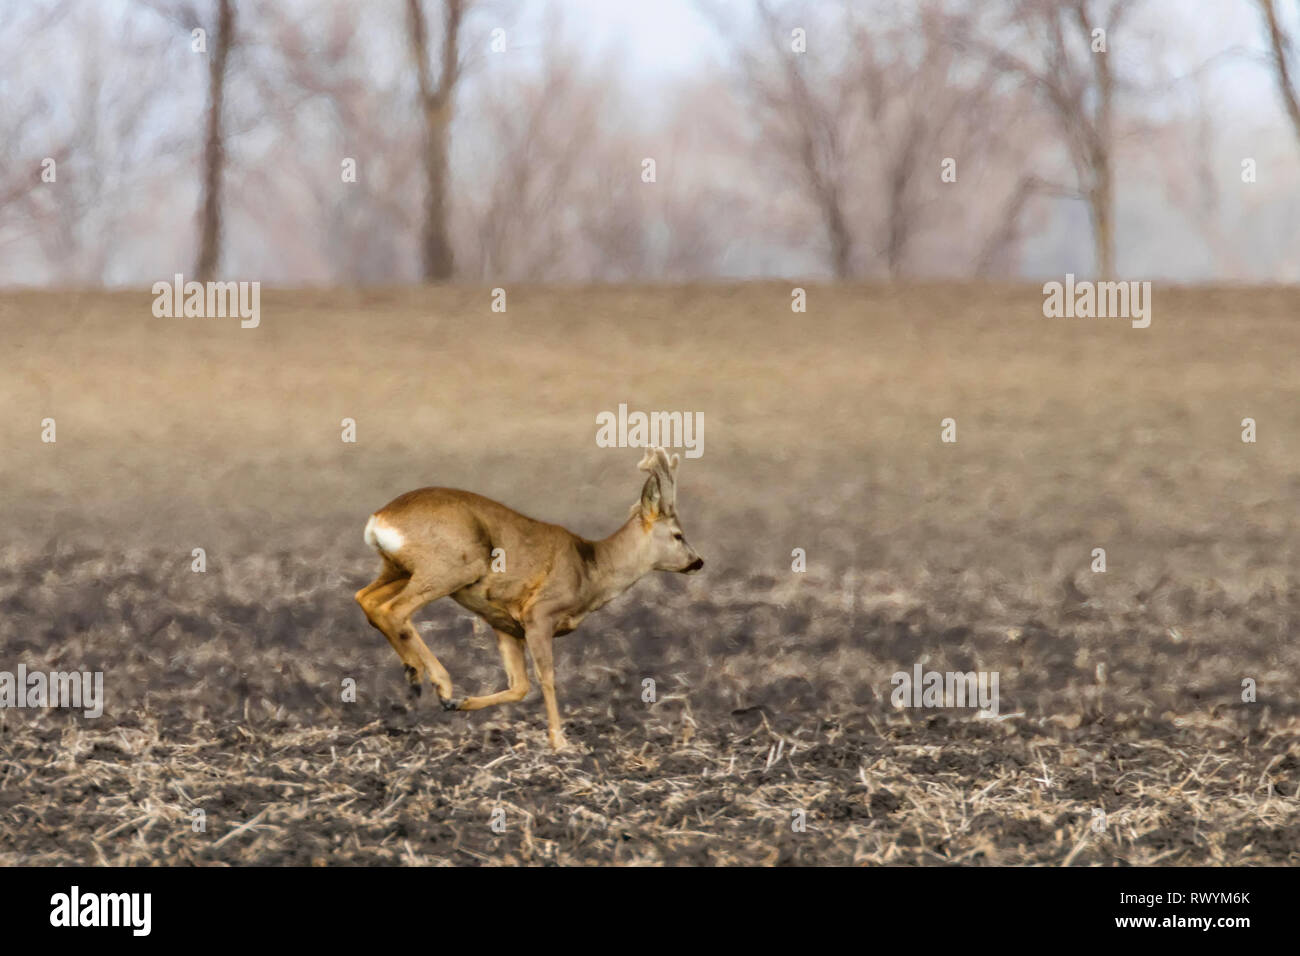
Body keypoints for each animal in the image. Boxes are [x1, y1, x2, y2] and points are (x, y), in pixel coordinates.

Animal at [353, 447, 702, 754]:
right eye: (678, 534)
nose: (698, 562)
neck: (591, 568)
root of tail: (379, 519)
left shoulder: (505, 624)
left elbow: (520, 686)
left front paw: (461, 703)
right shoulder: (539, 614)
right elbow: (547, 678)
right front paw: (560, 743)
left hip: (399, 569)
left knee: (366, 600)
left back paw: (420, 678)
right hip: (450, 567)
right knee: (395, 609)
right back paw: (436, 681)